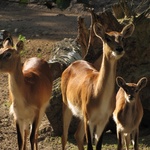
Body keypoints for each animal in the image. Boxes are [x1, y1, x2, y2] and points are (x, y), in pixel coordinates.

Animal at [61, 22, 135, 150]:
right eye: (107, 38)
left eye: (122, 37)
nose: (119, 49)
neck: (98, 92)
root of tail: (72, 65)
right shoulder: (89, 120)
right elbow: (90, 146)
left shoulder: (102, 121)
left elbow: (98, 145)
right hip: (67, 107)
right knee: (64, 137)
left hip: (82, 116)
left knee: (77, 135)